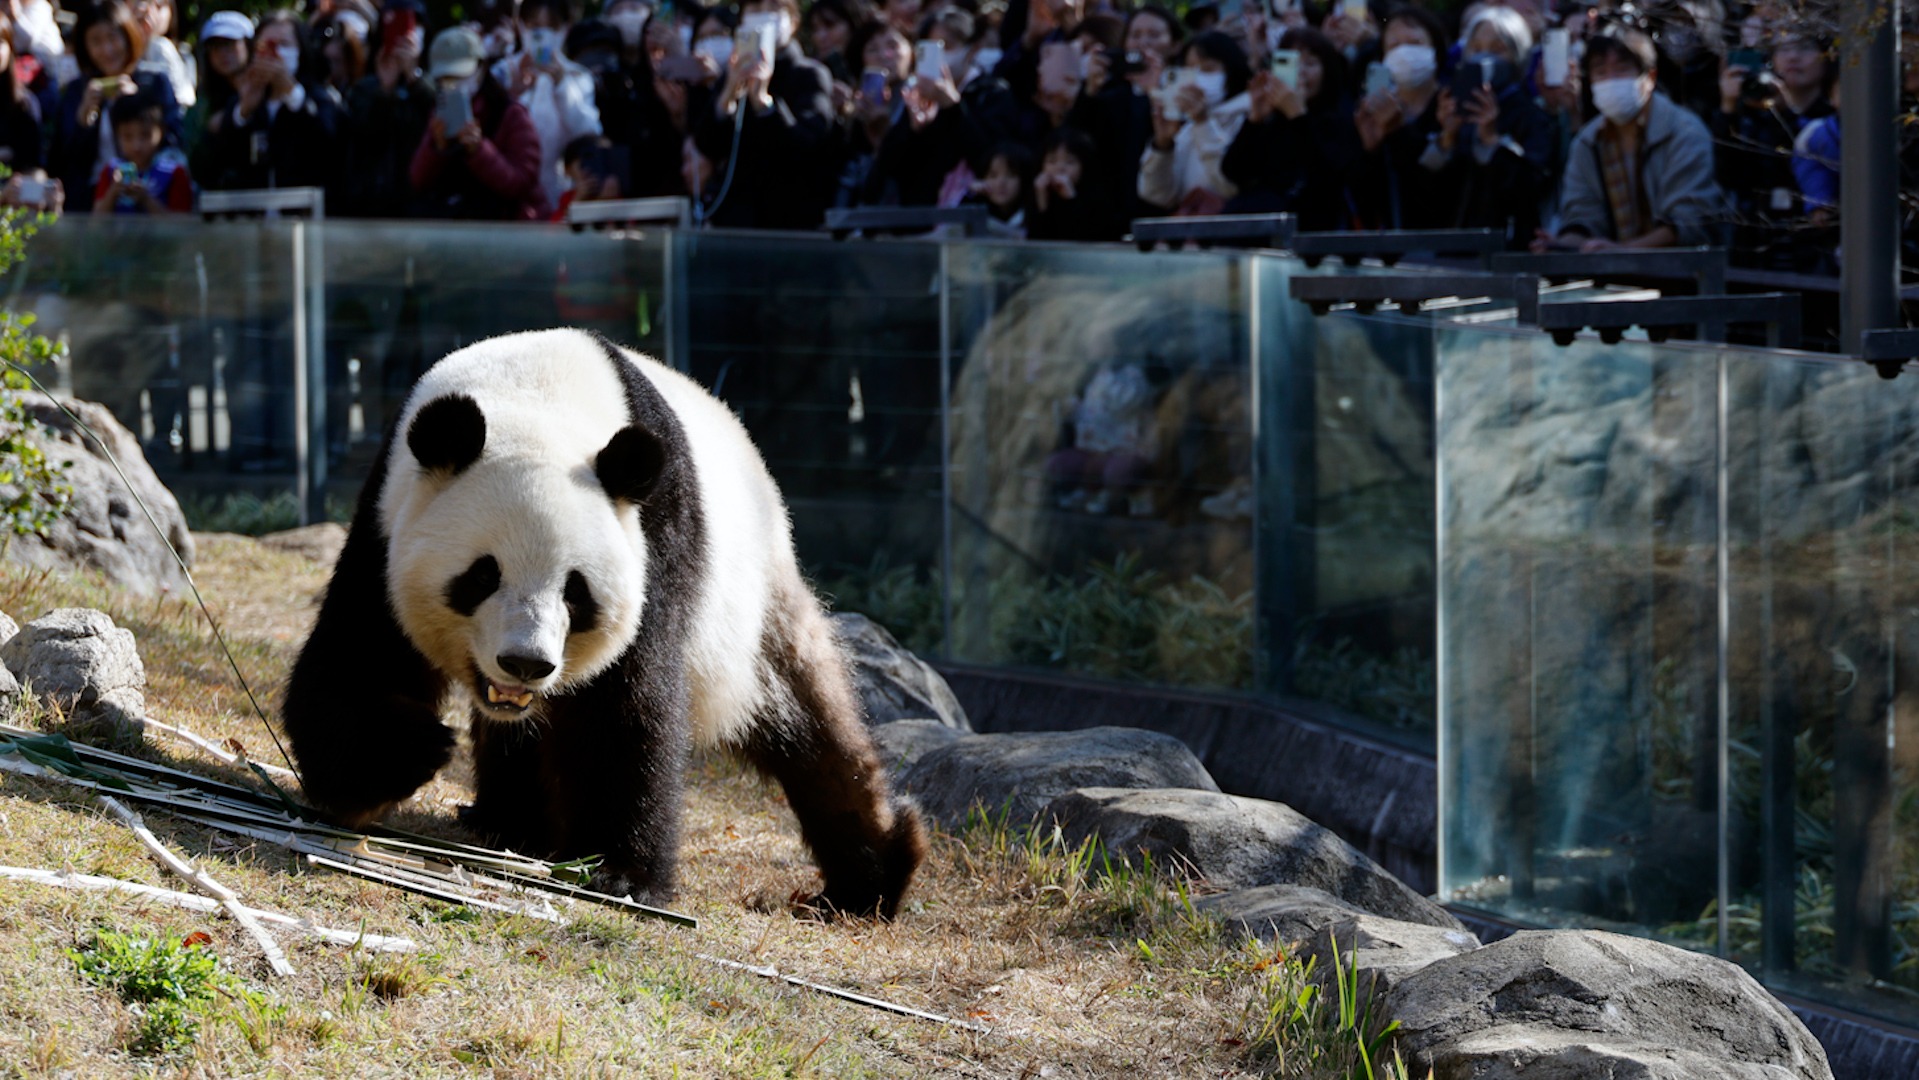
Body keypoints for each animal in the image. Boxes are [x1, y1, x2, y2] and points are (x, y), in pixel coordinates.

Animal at [280, 328, 927, 917]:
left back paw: (868, 881)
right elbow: (357, 659)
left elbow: (625, 707)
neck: (536, 399)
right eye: (483, 575)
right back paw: (508, 823)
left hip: (751, 598)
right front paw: (404, 752)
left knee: (809, 721)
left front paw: (619, 875)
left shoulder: (653, 541)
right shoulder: (386, 521)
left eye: (575, 590)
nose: (526, 663)